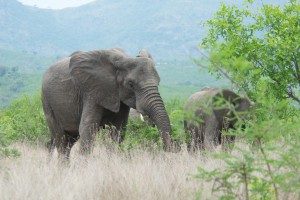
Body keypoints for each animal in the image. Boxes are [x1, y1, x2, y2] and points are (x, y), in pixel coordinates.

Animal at [41, 47, 173, 159]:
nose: (168, 151)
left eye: (158, 82)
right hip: (47, 101)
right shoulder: (92, 91)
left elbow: (118, 130)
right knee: (61, 140)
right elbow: (88, 127)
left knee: (70, 141)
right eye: (130, 84)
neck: (123, 59)